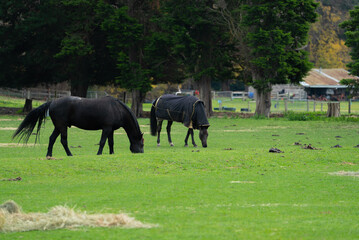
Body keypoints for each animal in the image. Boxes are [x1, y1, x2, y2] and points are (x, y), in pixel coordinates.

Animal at [13, 95, 144, 158]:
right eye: (142, 143)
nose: (141, 152)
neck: (117, 109)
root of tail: (52, 102)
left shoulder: (110, 130)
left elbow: (110, 142)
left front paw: (111, 153)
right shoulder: (106, 128)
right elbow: (102, 142)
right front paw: (99, 154)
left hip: (58, 127)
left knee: (52, 139)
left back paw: (49, 155)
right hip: (62, 127)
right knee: (63, 141)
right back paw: (70, 154)